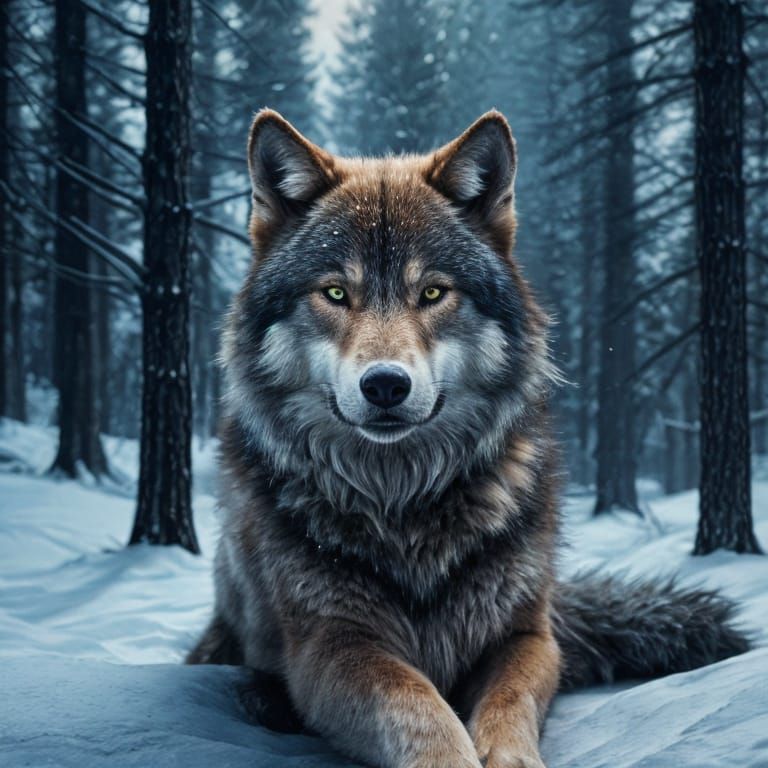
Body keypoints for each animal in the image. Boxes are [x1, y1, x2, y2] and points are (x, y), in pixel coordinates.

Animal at [188, 109, 748, 768]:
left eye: (432, 292)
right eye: (335, 293)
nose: (385, 385)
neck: (404, 506)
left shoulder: (527, 635)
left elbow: (508, 708)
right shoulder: (331, 644)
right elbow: (417, 706)